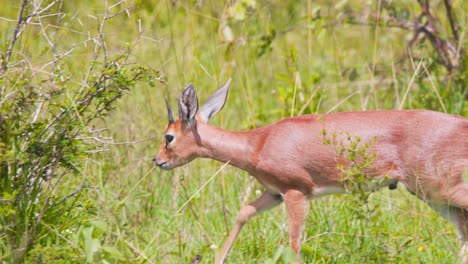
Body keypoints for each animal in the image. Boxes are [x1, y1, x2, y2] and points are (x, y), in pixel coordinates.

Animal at [154, 79, 468, 262]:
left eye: (169, 137)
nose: (158, 161)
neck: (259, 143)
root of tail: (461, 123)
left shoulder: (296, 193)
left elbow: (293, 244)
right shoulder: (274, 193)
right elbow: (243, 212)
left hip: (438, 189)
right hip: (432, 196)